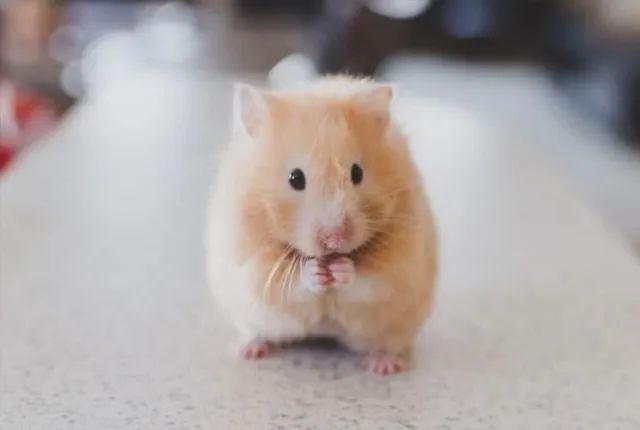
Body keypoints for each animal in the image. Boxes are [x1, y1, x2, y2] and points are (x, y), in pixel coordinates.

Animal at [206, 76, 437, 375]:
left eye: (357, 173)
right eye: (295, 178)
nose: (334, 240)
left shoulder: (400, 263)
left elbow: (371, 280)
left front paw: (341, 269)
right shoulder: (252, 260)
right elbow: (284, 282)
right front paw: (315, 272)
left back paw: (383, 366)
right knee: (255, 332)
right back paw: (248, 350)